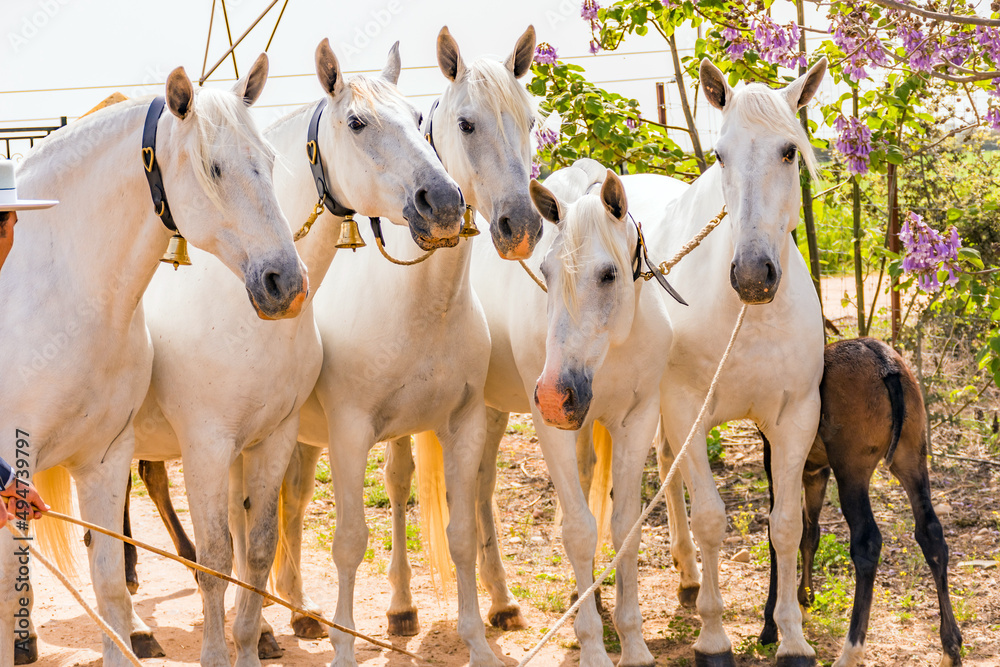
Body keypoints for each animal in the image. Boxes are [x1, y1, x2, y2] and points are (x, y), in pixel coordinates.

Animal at [130, 25, 542, 667]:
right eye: (467, 123)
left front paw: (476, 639)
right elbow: (347, 540)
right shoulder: (343, 430)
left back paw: (294, 616)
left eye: (530, 118)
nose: (518, 224)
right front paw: (346, 643)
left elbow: (459, 534)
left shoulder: (464, 420)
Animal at [754, 337, 962, 667]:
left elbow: (778, 535)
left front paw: (770, 627)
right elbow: (809, 531)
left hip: (852, 467)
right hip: (912, 457)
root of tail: (886, 364)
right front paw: (805, 598)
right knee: (931, 533)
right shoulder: (816, 469)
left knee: (867, 541)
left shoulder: (777, 457)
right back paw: (951, 647)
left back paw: (850, 651)